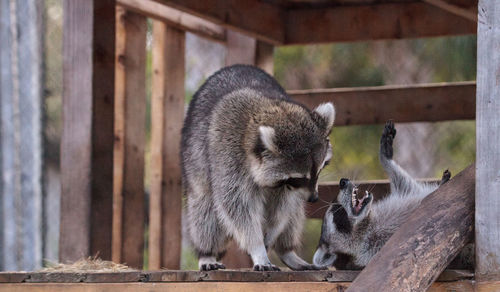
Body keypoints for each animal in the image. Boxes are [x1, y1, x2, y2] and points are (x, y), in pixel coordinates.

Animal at [182, 65, 334, 272]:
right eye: (299, 178)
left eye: (318, 171)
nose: (314, 198)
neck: (266, 108)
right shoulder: (228, 156)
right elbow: (236, 207)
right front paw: (257, 248)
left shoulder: (285, 187)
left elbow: (283, 208)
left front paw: (271, 234)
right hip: (195, 161)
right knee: (205, 209)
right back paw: (206, 252)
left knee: (294, 214)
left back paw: (286, 250)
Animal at [312, 121, 450, 270]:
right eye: (338, 212)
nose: (342, 182)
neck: (367, 224)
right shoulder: (377, 247)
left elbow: (408, 187)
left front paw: (386, 158)